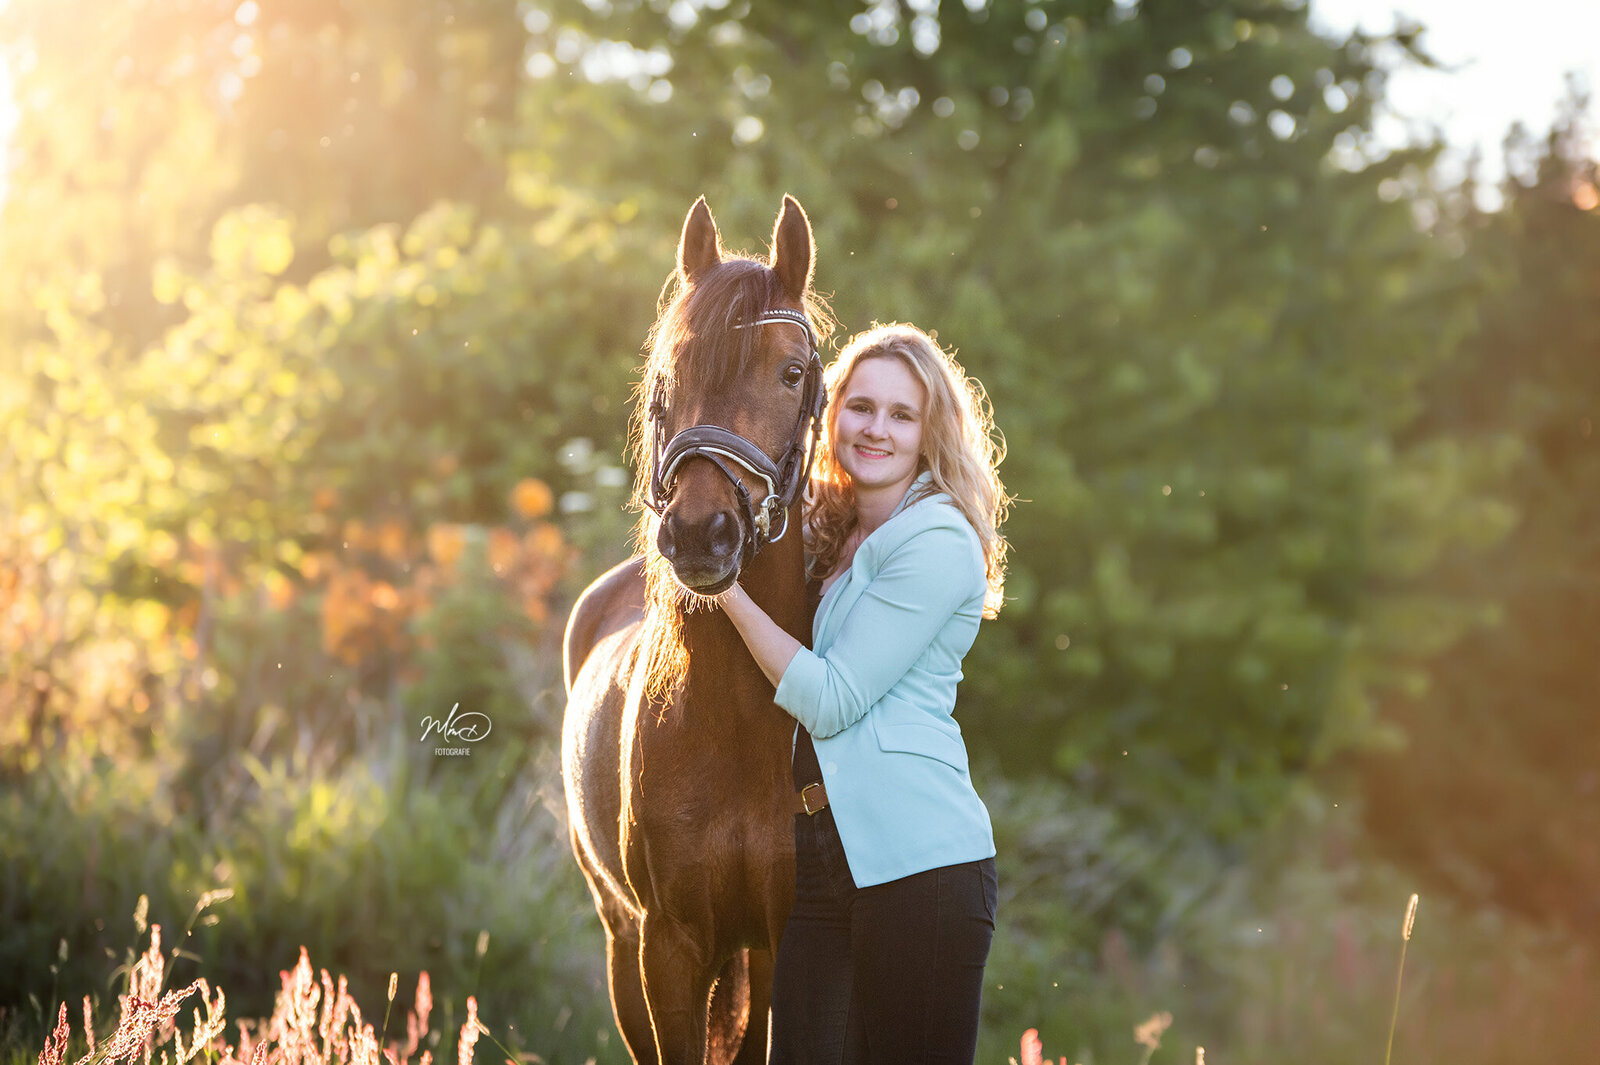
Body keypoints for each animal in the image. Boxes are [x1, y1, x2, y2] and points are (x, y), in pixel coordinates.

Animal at [563, 195, 832, 1055]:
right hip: (620, 937)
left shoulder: (781, 941)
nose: (697, 533)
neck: (737, 715)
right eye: (668, 376)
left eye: (791, 372)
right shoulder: (669, 948)